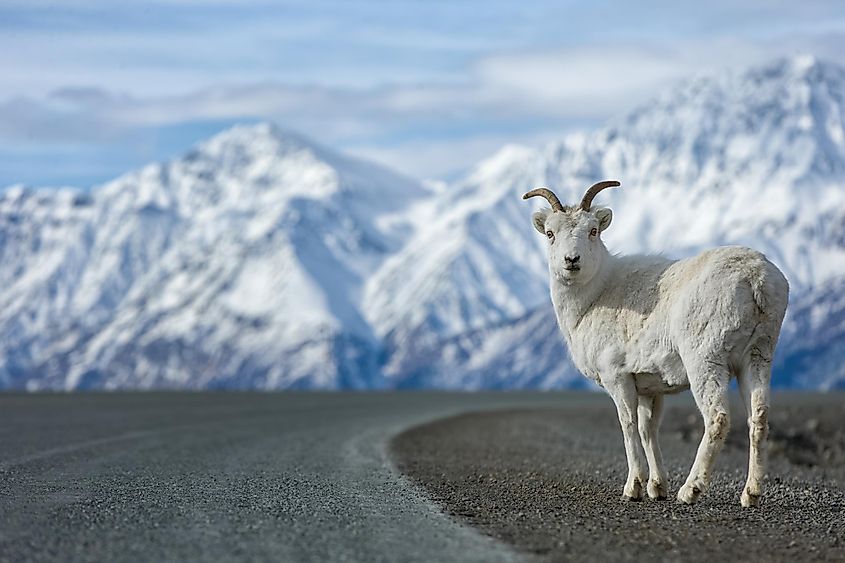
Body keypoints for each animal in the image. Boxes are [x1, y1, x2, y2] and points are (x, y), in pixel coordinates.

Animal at [524, 183, 788, 508]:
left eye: (593, 230)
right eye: (550, 232)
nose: (571, 260)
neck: (594, 298)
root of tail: (756, 278)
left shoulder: (618, 378)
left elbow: (628, 426)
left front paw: (633, 488)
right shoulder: (650, 388)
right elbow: (648, 429)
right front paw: (657, 487)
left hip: (706, 360)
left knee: (717, 418)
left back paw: (690, 491)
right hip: (757, 356)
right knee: (759, 416)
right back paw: (750, 494)